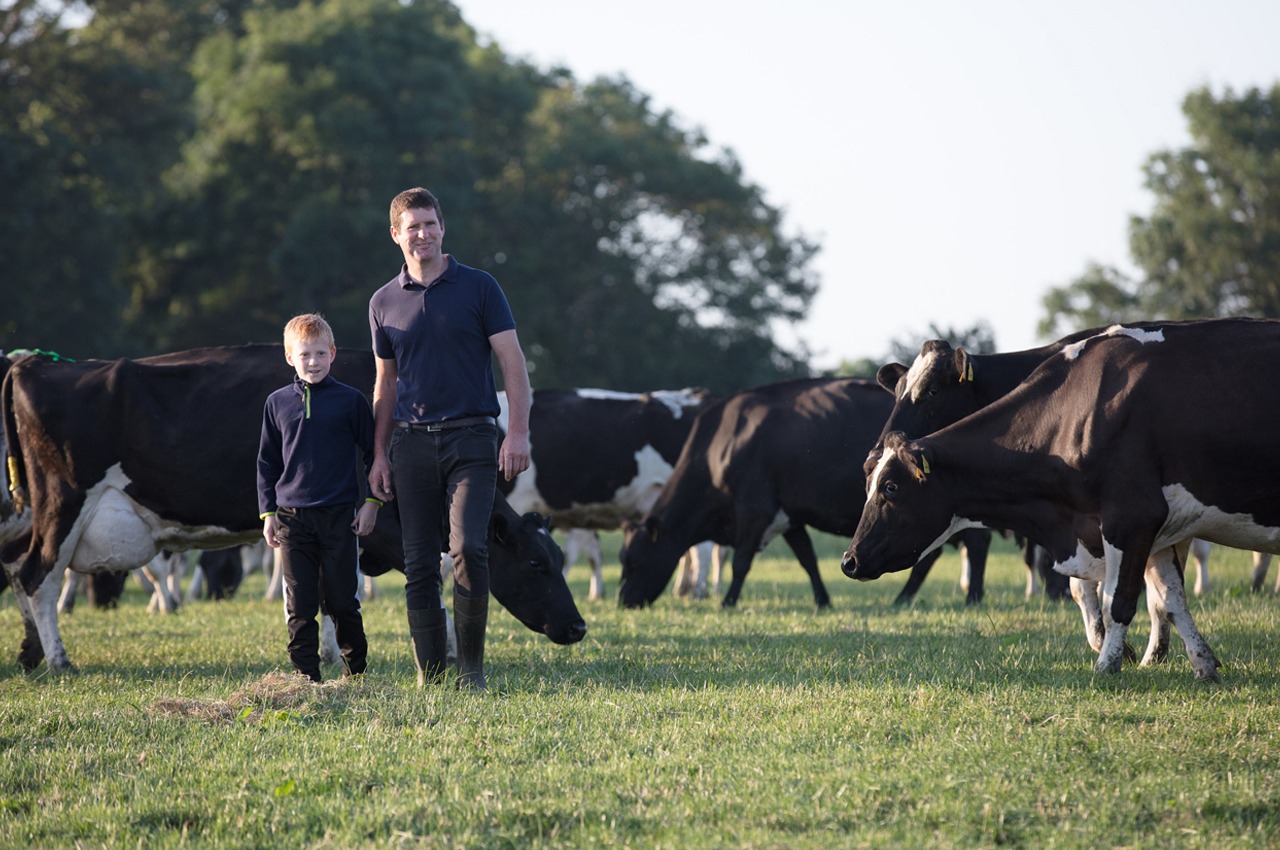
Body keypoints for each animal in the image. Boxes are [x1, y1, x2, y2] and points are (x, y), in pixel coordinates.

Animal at [0, 345, 586, 672]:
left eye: (559, 560)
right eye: (536, 563)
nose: (579, 627)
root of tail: (34, 365)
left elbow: (327, 590)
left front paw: (328, 652)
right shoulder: (370, 522)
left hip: (36, 513)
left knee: (17, 570)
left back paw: (30, 655)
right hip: (64, 503)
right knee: (38, 576)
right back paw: (58, 660)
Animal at [618, 377, 963, 609]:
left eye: (633, 560)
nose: (624, 602)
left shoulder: (754, 510)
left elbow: (741, 561)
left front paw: (728, 601)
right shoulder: (789, 516)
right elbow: (807, 558)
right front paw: (823, 601)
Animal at [842, 320, 1280, 680]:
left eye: (890, 488)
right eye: (897, 393)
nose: (849, 560)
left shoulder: (1134, 516)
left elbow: (1119, 599)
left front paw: (1111, 661)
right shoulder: (1151, 532)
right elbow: (1167, 597)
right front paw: (1197, 661)